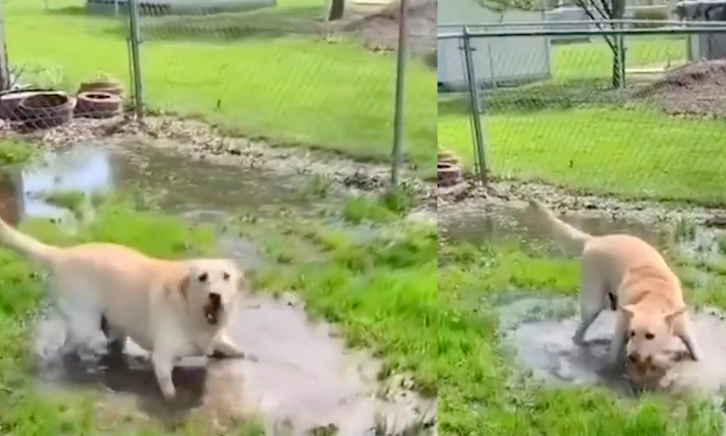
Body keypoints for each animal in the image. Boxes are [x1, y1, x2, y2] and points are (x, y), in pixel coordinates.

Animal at [0, 214, 250, 398]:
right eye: (202, 277)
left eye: (226, 276)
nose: (215, 295)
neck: (191, 312)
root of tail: (61, 254)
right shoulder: (162, 357)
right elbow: (167, 385)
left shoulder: (217, 338)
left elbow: (234, 348)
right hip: (83, 326)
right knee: (65, 349)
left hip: (113, 325)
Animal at [528, 199, 704, 370]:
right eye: (633, 333)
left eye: (650, 335)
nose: (633, 357)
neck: (654, 295)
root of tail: (595, 240)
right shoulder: (623, 327)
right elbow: (615, 355)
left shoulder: (682, 326)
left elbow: (695, 351)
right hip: (593, 301)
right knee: (580, 331)